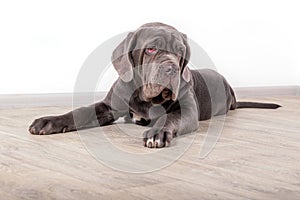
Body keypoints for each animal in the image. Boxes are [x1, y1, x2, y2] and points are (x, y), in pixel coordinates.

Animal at [29, 22, 280, 148]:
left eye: (180, 52)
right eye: (151, 49)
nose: (171, 68)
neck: (144, 97)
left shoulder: (186, 111)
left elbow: (169, 118)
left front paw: (158, 133)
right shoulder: (109, 106)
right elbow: (80, 111)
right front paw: (49, 121)